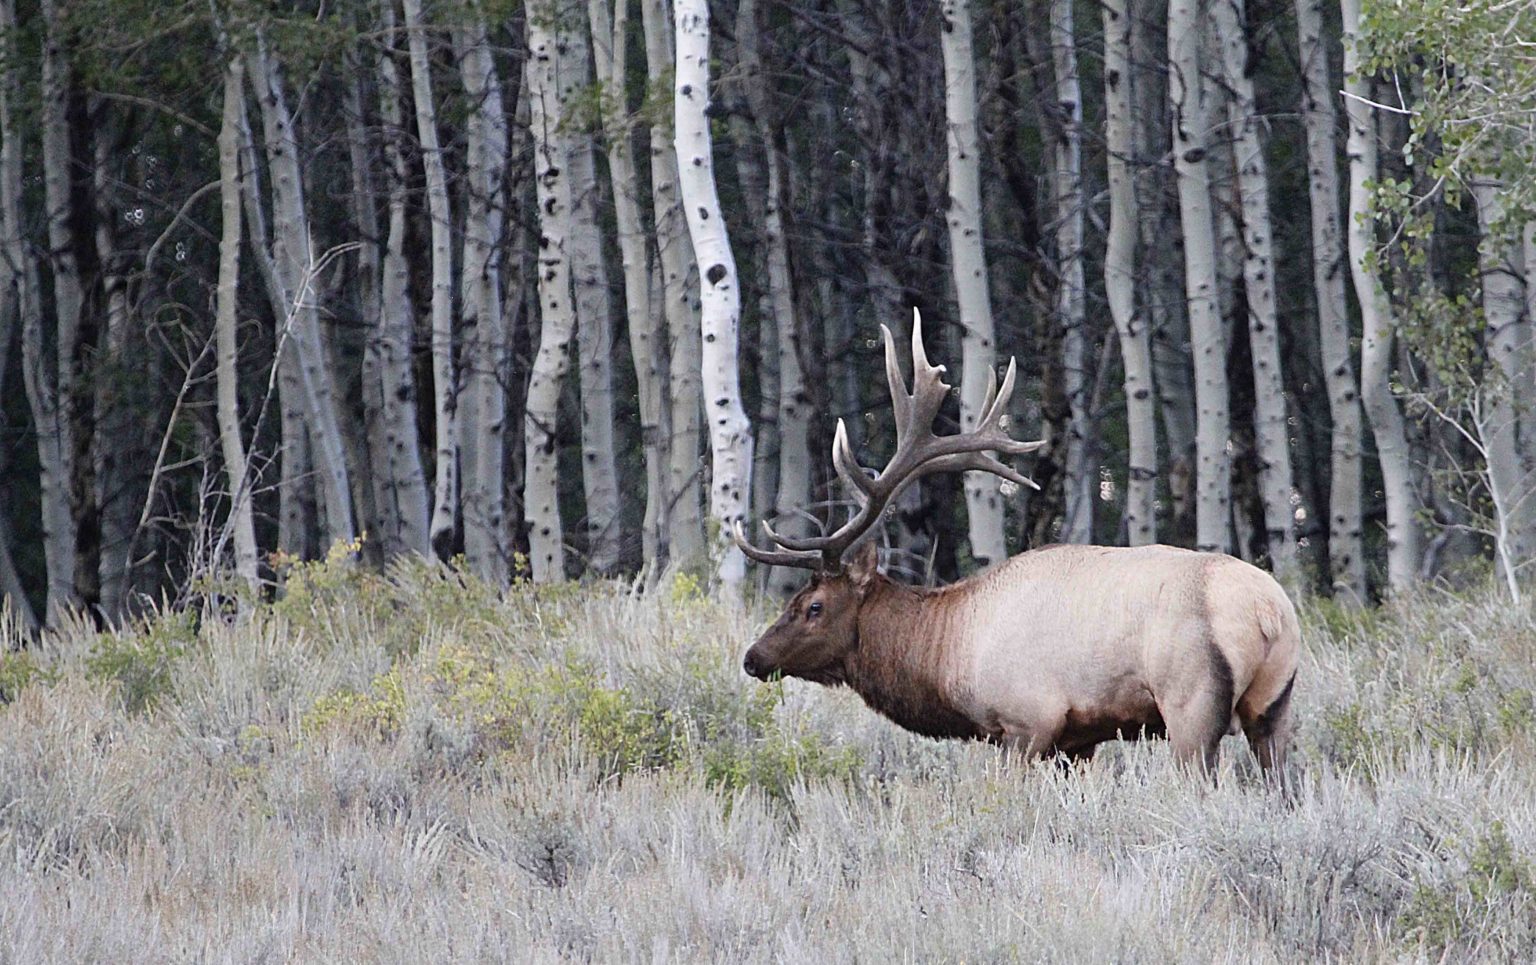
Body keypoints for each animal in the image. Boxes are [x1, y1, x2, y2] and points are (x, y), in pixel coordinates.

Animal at [733, 312, 1300, 775]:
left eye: (813, 605)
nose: (753, 657)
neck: (949, 657)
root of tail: (1269, 613)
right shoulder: (1078, 740)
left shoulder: (1026, 722)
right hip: (1275, 708)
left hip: (1190, 702)